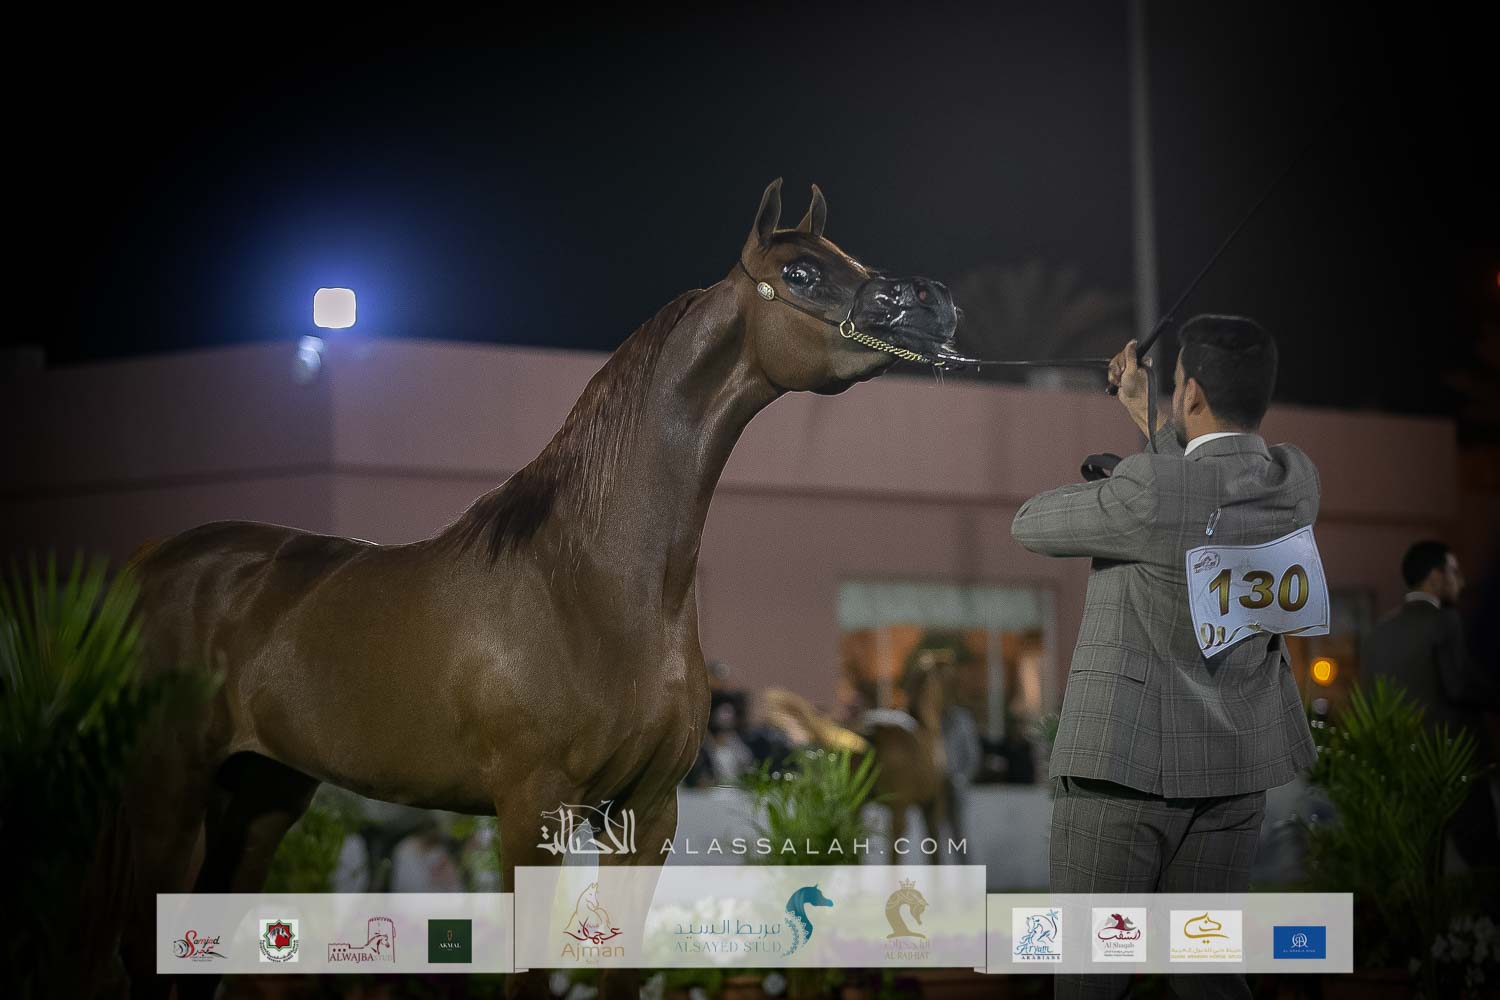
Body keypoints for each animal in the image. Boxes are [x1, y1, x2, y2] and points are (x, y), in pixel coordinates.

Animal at [116, 178, 958, 999]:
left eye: (847, 254)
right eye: (802, 272)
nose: (934, 301)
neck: (591, 586)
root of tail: (157, 563)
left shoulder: (646, 817)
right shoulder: (532, 814)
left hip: (258, 799)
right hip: (170, 794)